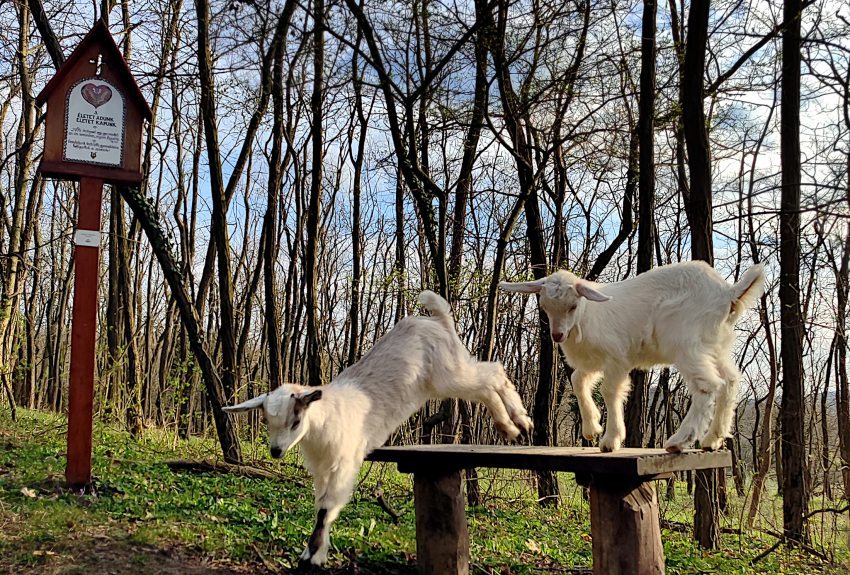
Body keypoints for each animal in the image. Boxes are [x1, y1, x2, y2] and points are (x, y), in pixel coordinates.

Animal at [222, 292, 532, 568]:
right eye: (267, 422)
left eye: (295, 422)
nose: (275, 451)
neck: (325, 420)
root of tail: (438, 320)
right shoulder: (321, 470)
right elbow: (322, 505)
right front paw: (315, 552)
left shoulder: (344, 462)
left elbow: (326, 508)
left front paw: (311, 557)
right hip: (448, 374)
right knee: (488, 377)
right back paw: (514, 424)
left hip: (449, 374)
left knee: (491, 377)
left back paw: (515, 424)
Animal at [496, 260, 760, 454]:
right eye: (545, 306)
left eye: (573, 306)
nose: (558, 335)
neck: (587, 316)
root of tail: (728, 293)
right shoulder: (593, 361)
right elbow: (578, 381)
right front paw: (592, 427)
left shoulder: (617, 357)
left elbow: (610, 391)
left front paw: (610, 440)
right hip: (716, 345)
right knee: (730, 381)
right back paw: (712, 439)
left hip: (687, 343)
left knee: (707, 385)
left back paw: (679, 441)